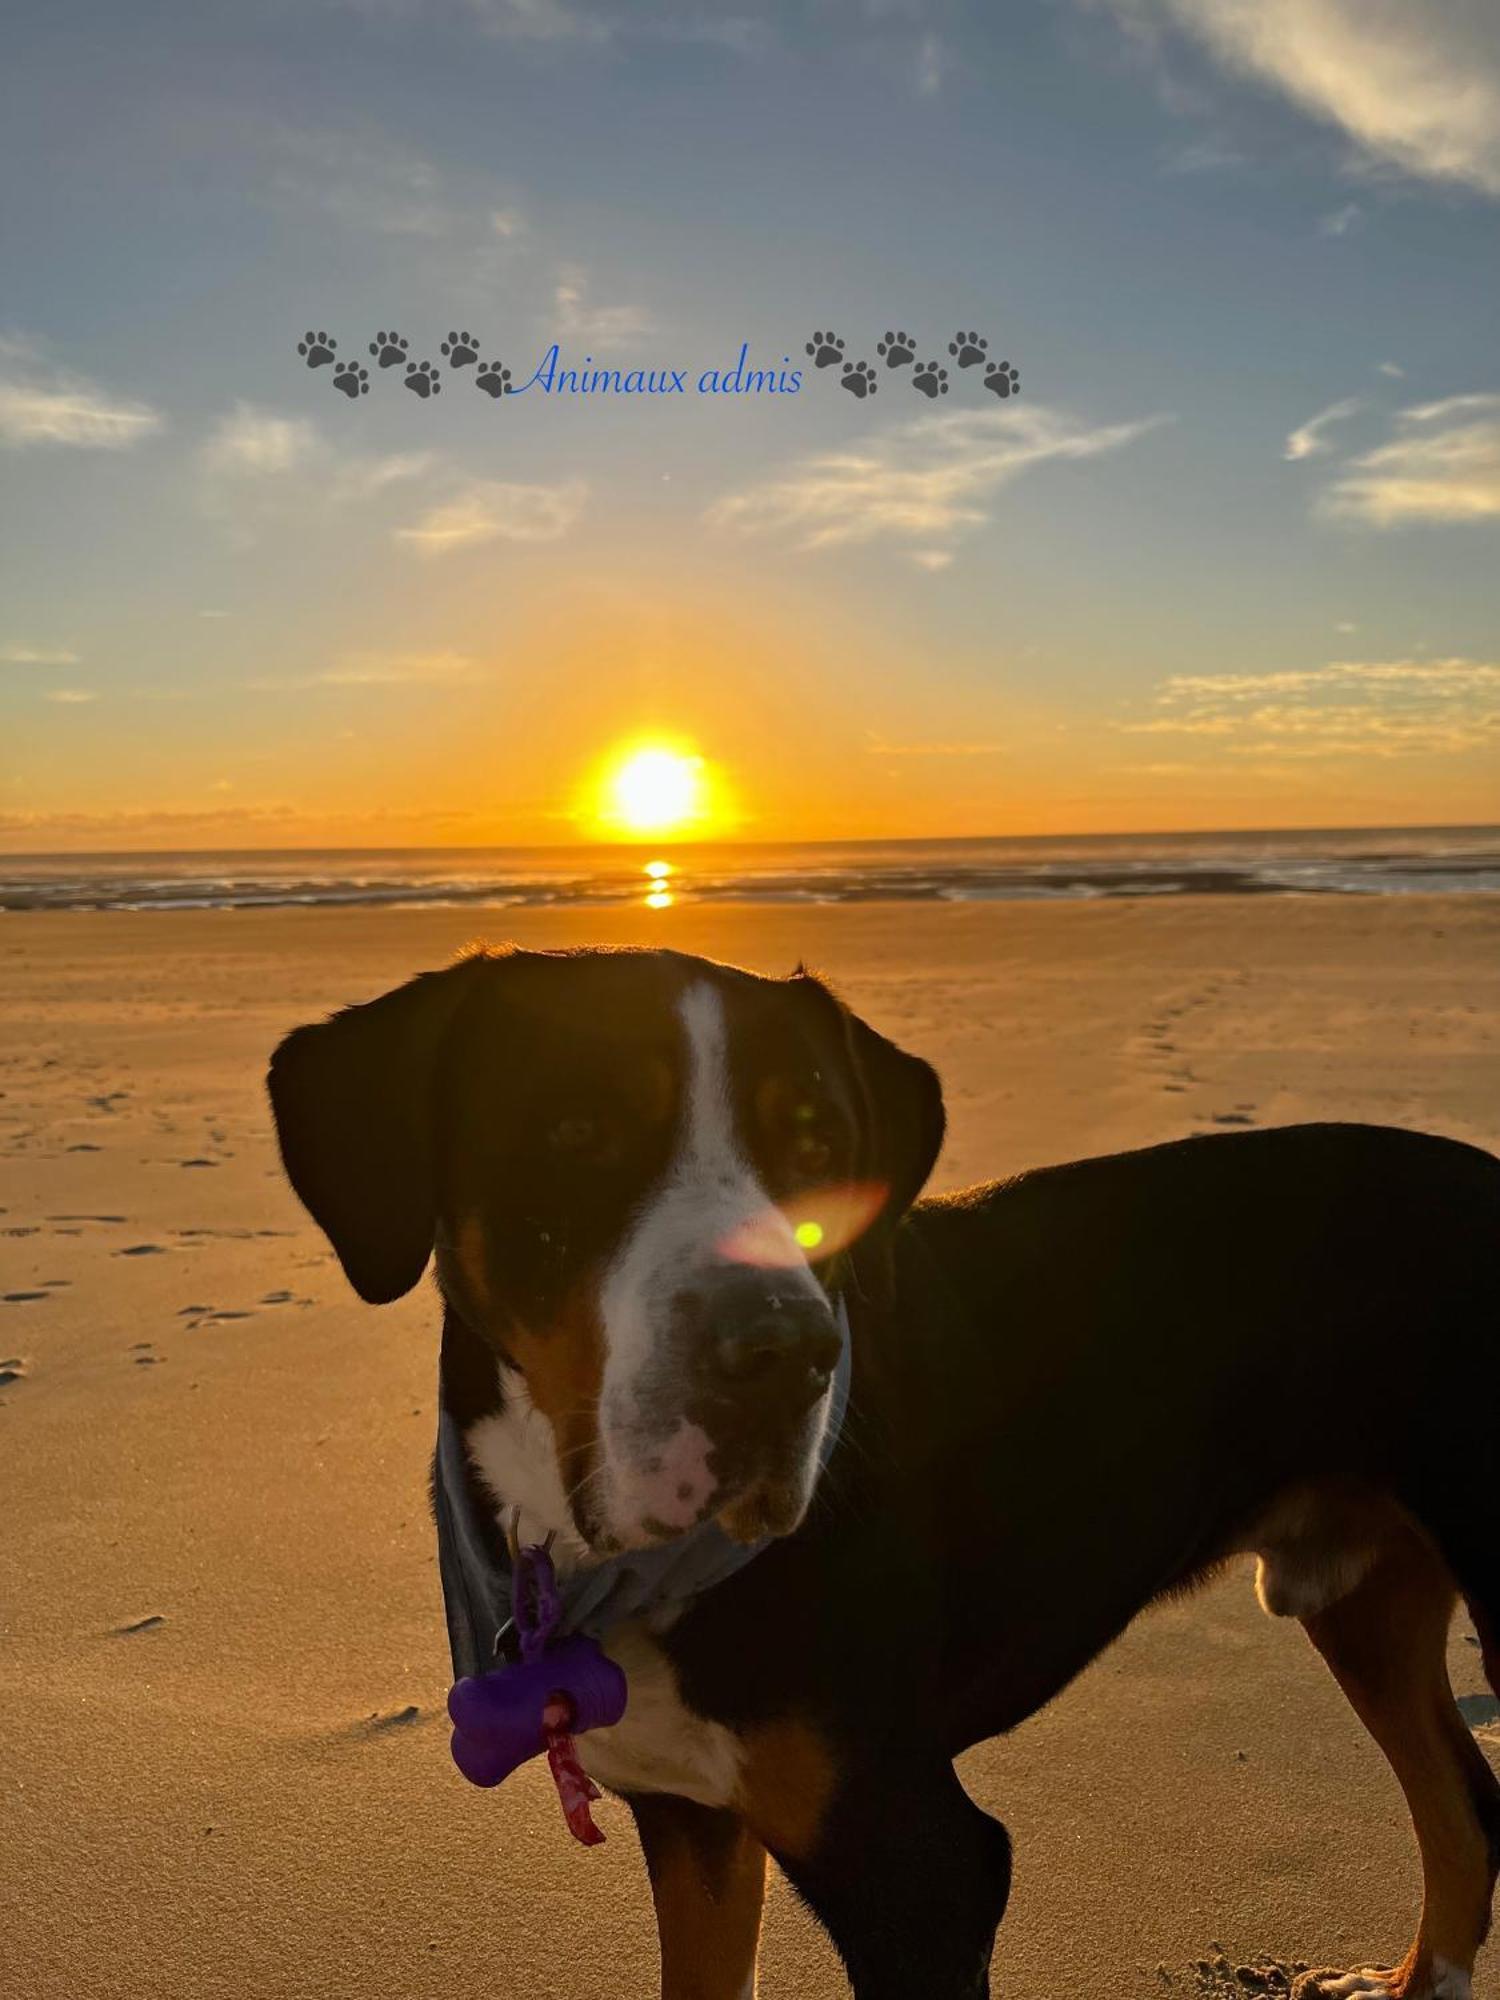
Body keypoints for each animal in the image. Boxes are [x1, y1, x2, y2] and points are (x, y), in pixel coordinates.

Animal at [270, 940, 1500, 2000]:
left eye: (818, 1144)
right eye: (574, 1127)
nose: (780, 1352)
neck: (600, 1571)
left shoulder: (919, 1861)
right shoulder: (691, 1817)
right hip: (1363, 1607)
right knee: (1463, 1802)